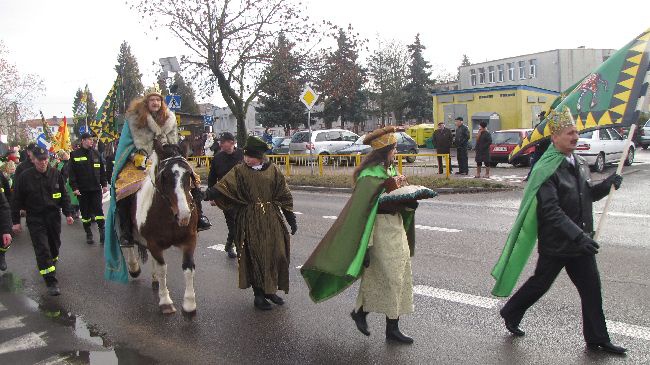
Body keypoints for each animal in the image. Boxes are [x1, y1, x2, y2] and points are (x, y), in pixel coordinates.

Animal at [121, 139, 197, 312]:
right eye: (164, 176)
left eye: (188, 174)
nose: (184, 215)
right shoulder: (154, 243)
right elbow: (163, 268)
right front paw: (166, 301)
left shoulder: (190, 239)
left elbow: (188, 268)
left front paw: (189, 304)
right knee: (128, 244)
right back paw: (134, 268)